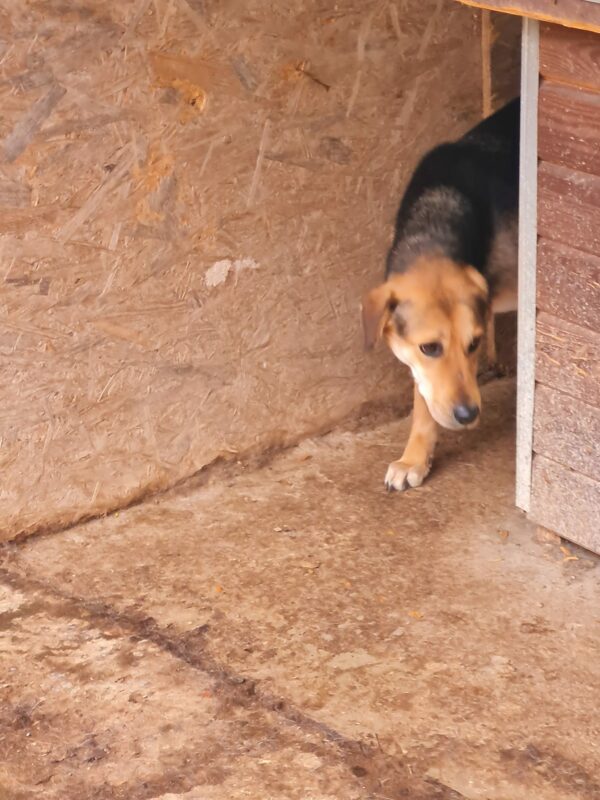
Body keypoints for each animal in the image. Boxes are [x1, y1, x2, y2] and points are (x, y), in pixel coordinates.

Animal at [360, 97, 520, 490]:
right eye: (430, 348)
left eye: (474, 343)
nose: (468, 414)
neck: (436, 227)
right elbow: (423, 400)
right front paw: (414, 459)